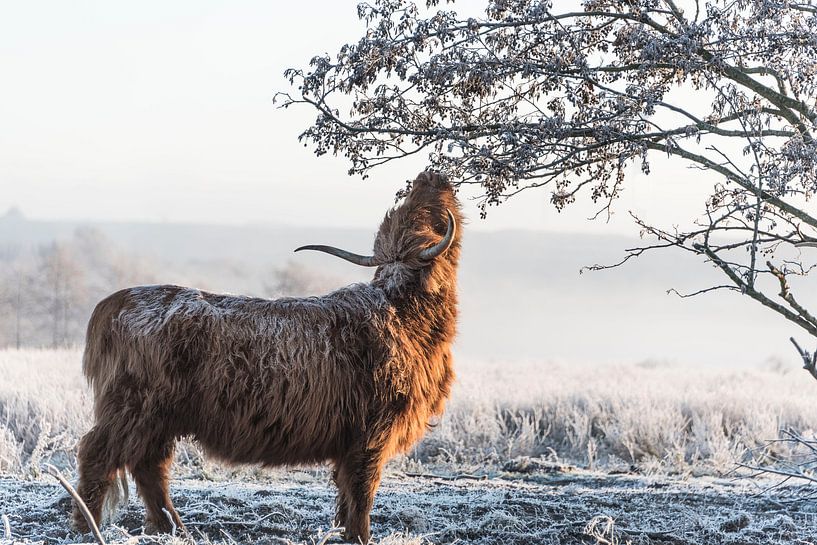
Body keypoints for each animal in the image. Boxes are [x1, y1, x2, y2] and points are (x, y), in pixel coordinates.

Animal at [71, 170, 460, 540]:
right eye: (427, 210)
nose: (433, 175)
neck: (404, 311)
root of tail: (117, 300)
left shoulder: (351, 439)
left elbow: (346, 493)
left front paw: (343, 531)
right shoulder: (372, 431)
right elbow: (363, 491)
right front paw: (361, 537)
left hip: (158, 418)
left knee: (150, 467)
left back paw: (173, 529)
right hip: (133, 407)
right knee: (98, 455)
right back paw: (87, 527)